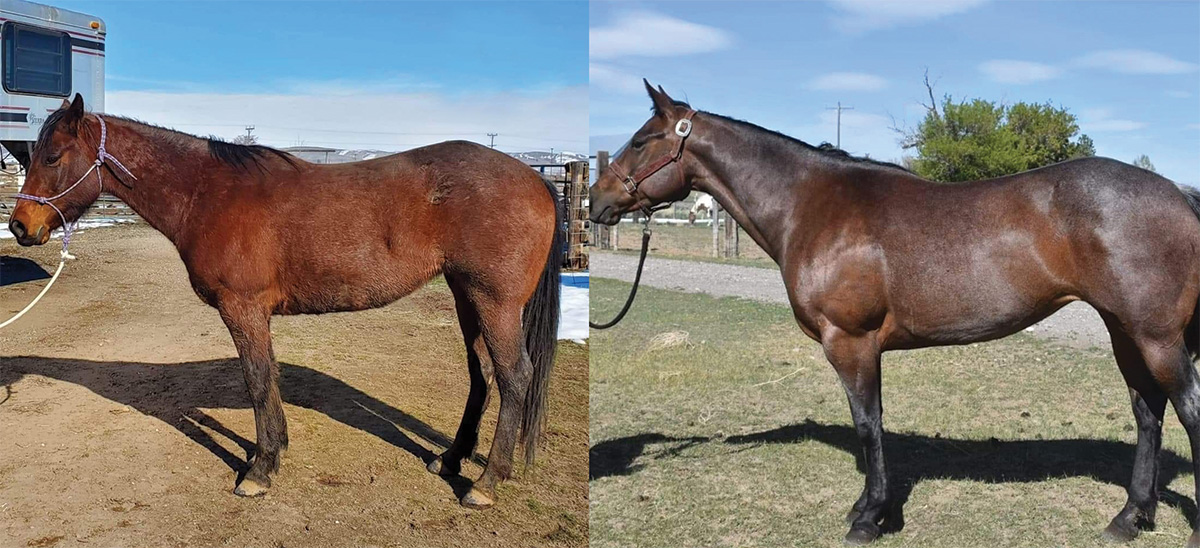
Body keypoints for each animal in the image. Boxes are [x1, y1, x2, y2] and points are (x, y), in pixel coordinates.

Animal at [6, 94, 564, 510]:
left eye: (52, 157)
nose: (19, 226)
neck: (208, 192)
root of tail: (536, 178)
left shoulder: (243, 309)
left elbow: (257, 380)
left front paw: (259, 469)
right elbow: (269, 378)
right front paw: (274, 452)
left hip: (494, 302)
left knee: (515, 377)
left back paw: (485, 483)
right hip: (466, 294)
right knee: (483, 375)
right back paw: (450, 459)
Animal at [590, 80, 1200, 547]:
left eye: (641, 141)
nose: (597, 201)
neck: (812, 205)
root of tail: (1178, 192)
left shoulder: (850, 341)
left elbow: (868, 425)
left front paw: (869, 516)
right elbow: (874, 423)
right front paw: (872, 507)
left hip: (1157, 338)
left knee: (1187, 412)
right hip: (1125, 331)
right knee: (1148, 413)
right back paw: (1129, 517)